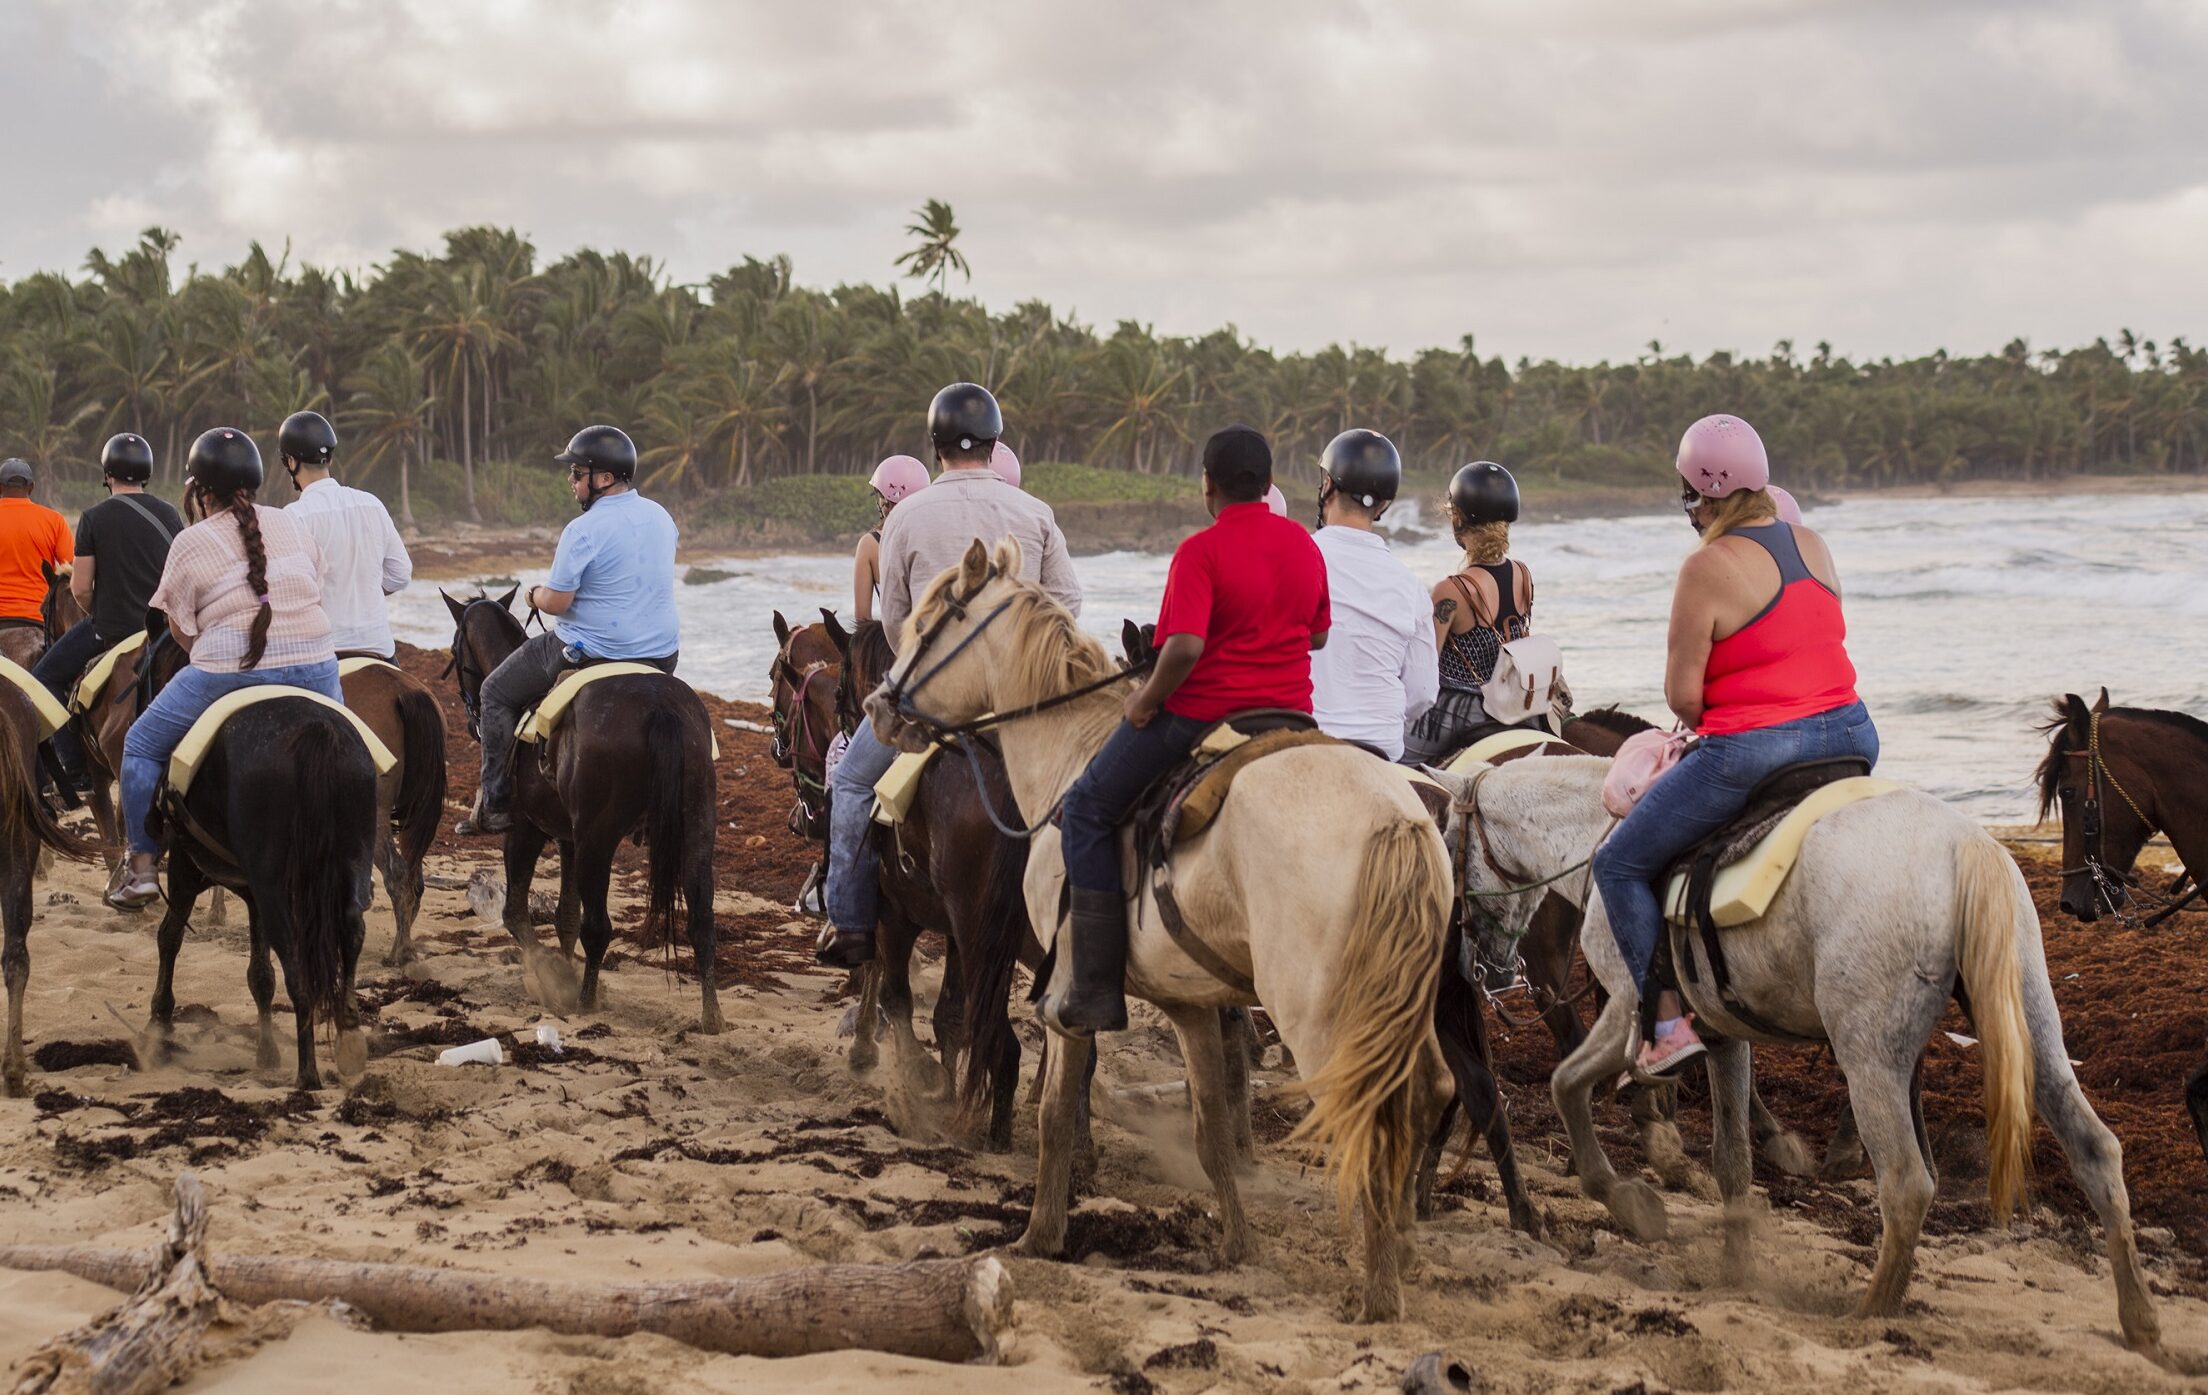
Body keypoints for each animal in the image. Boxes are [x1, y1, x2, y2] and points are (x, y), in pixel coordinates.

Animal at [439, 587, 724, 1037]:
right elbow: (566, 916)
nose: (471, 720)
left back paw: (586, 1001)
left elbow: (516, 913)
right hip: (696, 828)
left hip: (598, 839)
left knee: (599, 928)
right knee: (701, 922)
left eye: (453, 648)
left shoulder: (527, 831)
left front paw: (556, 974)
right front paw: (563, 968)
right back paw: (711, 1015)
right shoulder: (568, 839)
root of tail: (659, 707)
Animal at [869, 538, 1457, 1324]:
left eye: (927, 622)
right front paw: (1236, 1244)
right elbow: (1211, 1128)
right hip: (1403, 1006)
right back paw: (1405, 1250)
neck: (1073, 754)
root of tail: (1397, 817)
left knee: (1367, 1111)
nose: (878, 705)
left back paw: (1377, 1290)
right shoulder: (1190, 1004)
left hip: (1321, 1016)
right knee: (1425, 1094)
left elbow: (1055, 1112)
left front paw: (1041, 1233)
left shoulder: (1066, 990)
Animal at [1421, 750, 2163, 1359]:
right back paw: (2139, 1320)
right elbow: (1731, 1160)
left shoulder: (1630, 1007)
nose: (1472, 958)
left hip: (1869, 1056)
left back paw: (1871, 1313)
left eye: (1451, 842)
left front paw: (1632, 1202)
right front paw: (1737, 1272)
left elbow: (1566, 1084)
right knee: (2096, 1150)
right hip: (2031, 1024)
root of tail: (1963, 846)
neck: (1599, 835)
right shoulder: (1723, 1034)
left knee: (1907, 1180)